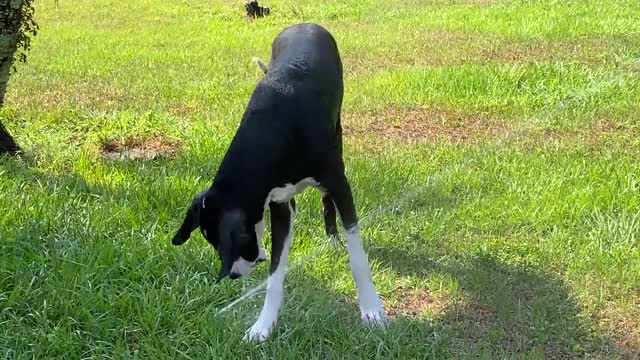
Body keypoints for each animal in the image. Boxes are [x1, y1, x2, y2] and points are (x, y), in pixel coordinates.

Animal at [170, 23, 388, 344]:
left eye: (233, 240)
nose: (234, 275)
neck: (275, 128)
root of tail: (305, 24)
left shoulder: (340, 185)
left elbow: (357, 256)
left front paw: (371, 308)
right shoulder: (280, 205)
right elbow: (275, 272)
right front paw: (264, 324)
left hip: (337, 139)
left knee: (327, 200)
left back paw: (333, 239)